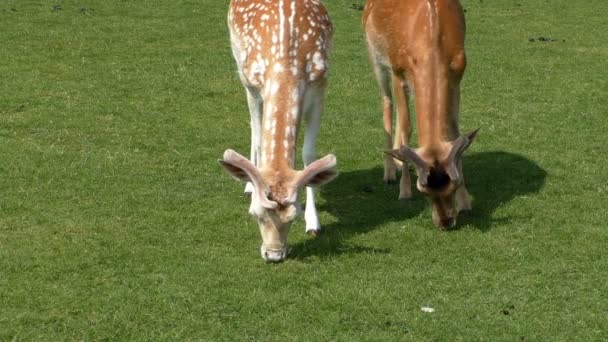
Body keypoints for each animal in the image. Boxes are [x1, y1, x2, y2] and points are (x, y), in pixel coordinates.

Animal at [218, 0, 338, 262]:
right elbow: (260, 138)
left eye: (294, 216)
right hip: (242, 68)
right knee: (254, 129)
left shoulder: (319, 85)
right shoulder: (255, 83)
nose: (274, 255)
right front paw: (251, 186)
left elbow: (308, 154)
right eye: (256, 214)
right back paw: (247, 184)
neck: (286, 61)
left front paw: (313, 223)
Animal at [364, 0, 478, 230]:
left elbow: (455, 130)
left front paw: (466, 203)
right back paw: (390, 172)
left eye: (454, 186)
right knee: (387, 103)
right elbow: (408, 126)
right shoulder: (398, 69)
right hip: (376, 57)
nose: (445, 223)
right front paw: (404, 191)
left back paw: (398, 162)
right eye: (423, 192)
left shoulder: (457, 74)